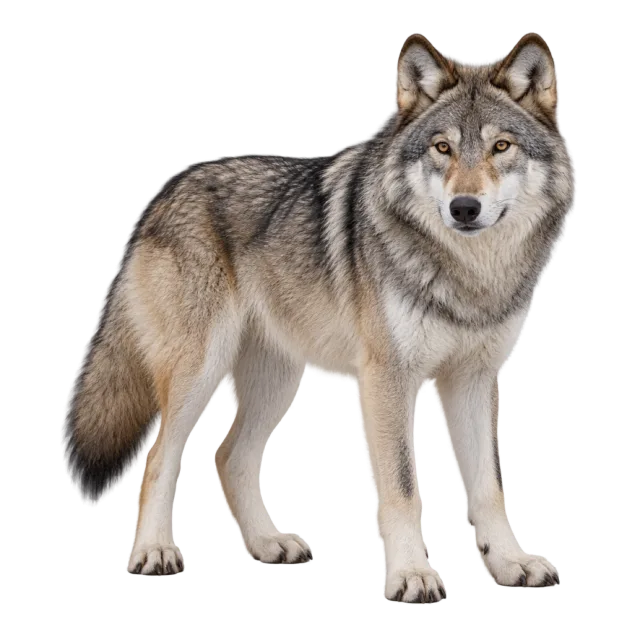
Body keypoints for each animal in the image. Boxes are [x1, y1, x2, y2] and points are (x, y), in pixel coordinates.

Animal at [61, 32, 575, 602]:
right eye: (442, 148)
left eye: (501, 147)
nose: (464, 208)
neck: (470, 275)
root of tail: (165, 196)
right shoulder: (386, 380)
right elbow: (403, 486)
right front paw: (412, 575)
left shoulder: (475, 379)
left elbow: (489, 487)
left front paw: (510, 564)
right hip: (200, 370)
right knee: (158, 459)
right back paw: (153, 553)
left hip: (279, 381)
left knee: (228, 457)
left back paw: (268, 545)